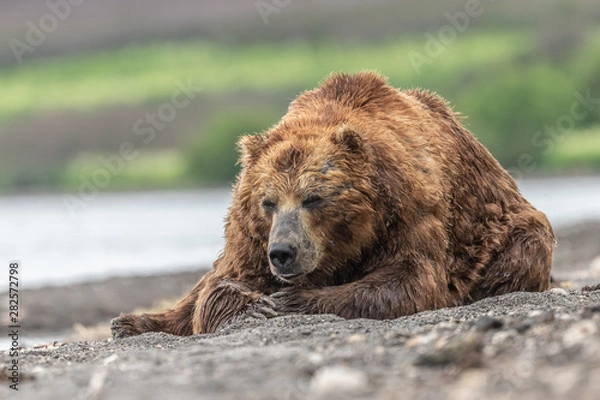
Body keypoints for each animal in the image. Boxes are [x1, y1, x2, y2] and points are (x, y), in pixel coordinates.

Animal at [111, 72, 552, 338]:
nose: (283, 253)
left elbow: (409, 281)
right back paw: (129, 322)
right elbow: (219, 284)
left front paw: (292, 300)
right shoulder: (248, 234)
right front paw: (253, 307)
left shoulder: (409, 212)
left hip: (506, 224)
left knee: (524, 247)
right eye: (268, 202)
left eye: (313, 197)